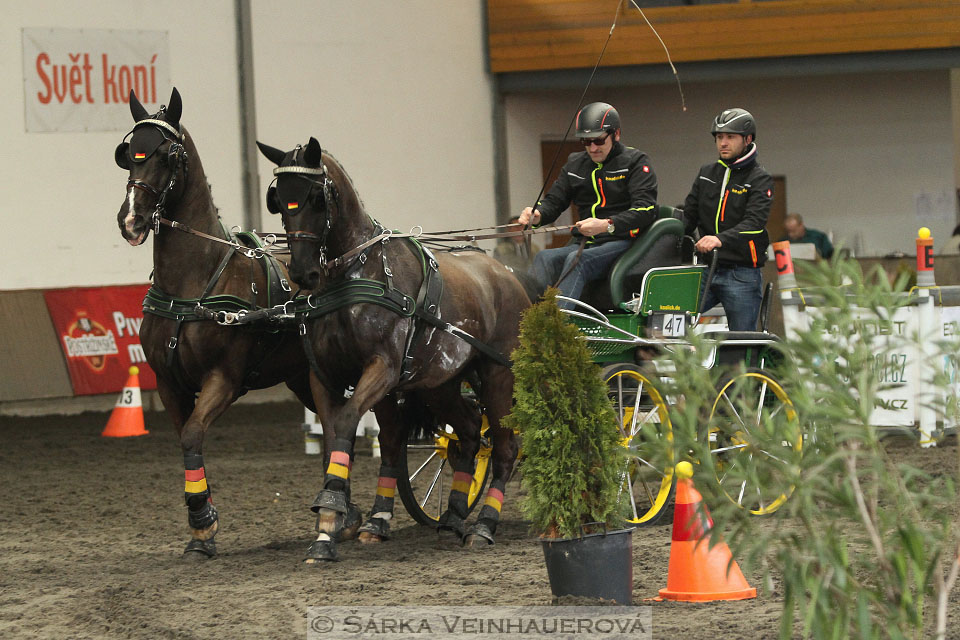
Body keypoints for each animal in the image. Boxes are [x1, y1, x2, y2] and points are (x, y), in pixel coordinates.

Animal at [116, 87, 322, 556]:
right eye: (128, 155)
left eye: (167, 155)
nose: (131, 220)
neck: (191, 284)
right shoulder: (169, 384)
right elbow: (186, 441)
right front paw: (201, 527)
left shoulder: (224, 379)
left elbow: (193, 434)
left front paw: (203, 521)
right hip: (300, 377)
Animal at [256, 138, 532, 564]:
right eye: (278, 200)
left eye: (317, 198)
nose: (303, 273)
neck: (355, 274)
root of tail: (507, 274)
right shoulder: (325, 377)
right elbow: (338, 434)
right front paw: (330, 527)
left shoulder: (382, 369)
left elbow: (349, 421)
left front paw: (332, 512)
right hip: (440, 383)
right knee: (470, 431)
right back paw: (453, 518)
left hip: (498, 374)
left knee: (504, 446)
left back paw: (483, 526)